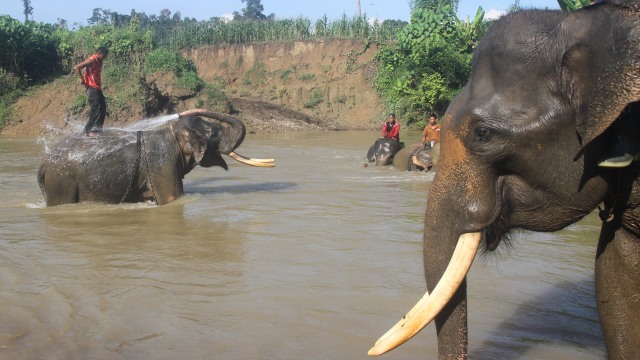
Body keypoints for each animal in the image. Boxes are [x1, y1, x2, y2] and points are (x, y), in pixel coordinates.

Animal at [37, 108, 272, 207]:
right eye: (214, 134)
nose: (180, 112)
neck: (171, 131)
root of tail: (44, 163)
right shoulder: (163, 162)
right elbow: (172, 199)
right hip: (62, 182)